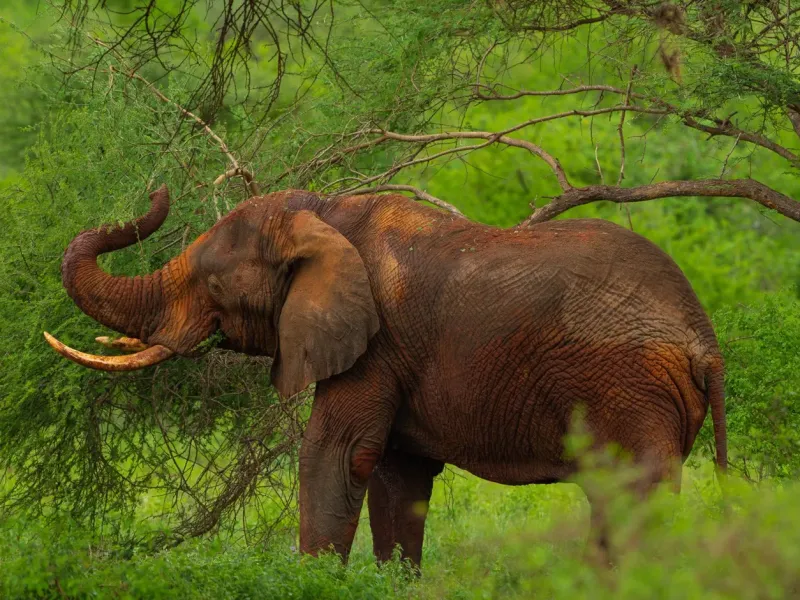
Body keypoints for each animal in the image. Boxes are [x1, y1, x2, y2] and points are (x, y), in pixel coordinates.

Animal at [45, 184, 727, 567]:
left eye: (214, 286)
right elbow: (400, 476)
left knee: (629, 498)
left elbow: (336, 454)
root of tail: (706, 345)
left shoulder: (377, 342)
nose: (155, 194)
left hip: (631, 390)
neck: (324, 212)